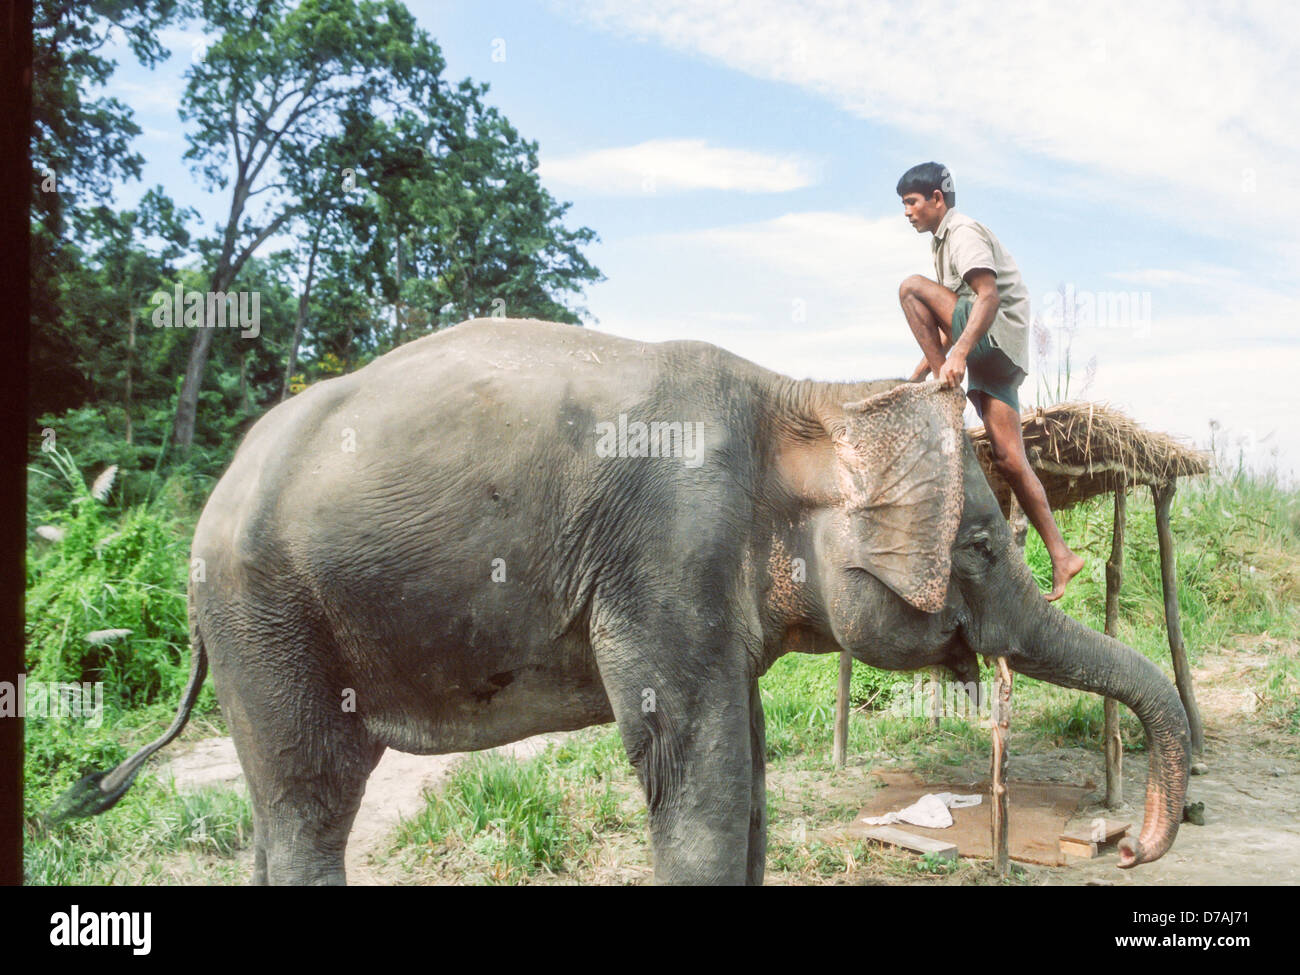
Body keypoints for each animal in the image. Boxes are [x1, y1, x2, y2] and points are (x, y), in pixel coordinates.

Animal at [53, 317, 1190, 885]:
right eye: (985, 545)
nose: (1131, 843)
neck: (801, 397)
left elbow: (744, 771)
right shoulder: (664, 554)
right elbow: (696, 772)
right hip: (267, 616)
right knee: (307, 804)